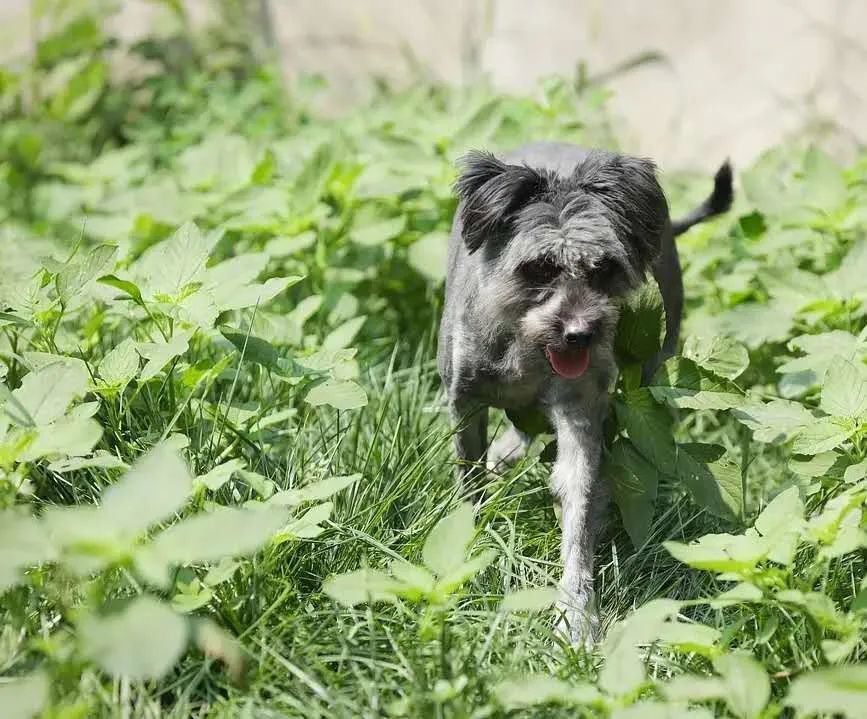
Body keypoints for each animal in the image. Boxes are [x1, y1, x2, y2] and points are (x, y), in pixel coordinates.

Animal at [438, 139, 728, 640]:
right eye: (538, 267)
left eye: (604, 267)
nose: (579, 334)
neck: (527, 346)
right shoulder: (466, 402)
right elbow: (469, 477)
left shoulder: (581, 411)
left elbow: (578, 502)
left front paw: (576, 613)